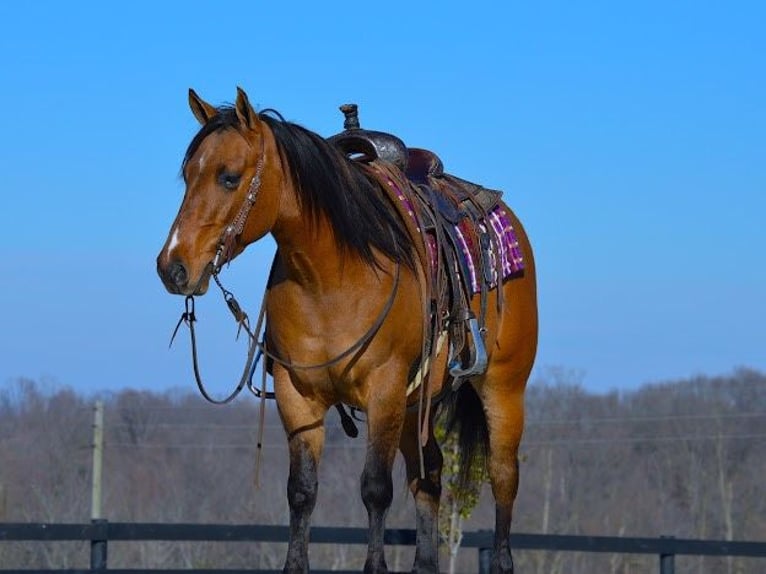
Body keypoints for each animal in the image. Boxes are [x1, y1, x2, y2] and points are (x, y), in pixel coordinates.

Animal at [156, 86, 540, 574]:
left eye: (228, 177)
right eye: (188, 176)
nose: (173, 268)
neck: (329, 278)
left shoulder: (383, 391)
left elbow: (375, 489)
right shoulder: (297, 396)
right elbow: (302, 492)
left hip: (502, 388)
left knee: (503, 478)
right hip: (418, 405)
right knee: (428, 476)